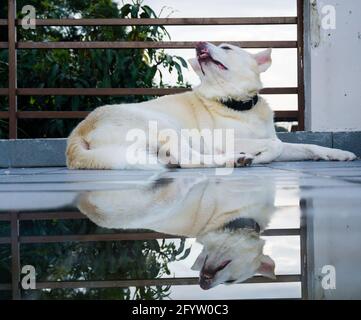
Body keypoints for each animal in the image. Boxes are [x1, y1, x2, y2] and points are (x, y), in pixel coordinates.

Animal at [65, 41, 354, 169]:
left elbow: (305, 146)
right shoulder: (223, 140)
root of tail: (77, 134)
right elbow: (276, 145)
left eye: (226, 47)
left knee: (178, 160)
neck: (236, 104)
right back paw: (234, 159)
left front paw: (337, 153)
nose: (198, 44)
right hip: (165, 126)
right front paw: (261, 155)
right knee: (187, 159)